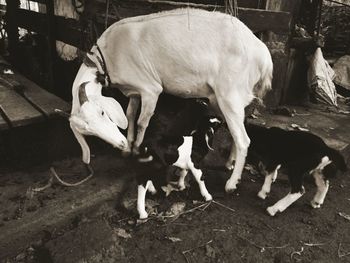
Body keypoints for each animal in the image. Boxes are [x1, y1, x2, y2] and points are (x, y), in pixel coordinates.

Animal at [69, 8, 274, 194]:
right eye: (89, 132)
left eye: (102, 112)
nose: (119, 143)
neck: (109, 54)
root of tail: (264, 56)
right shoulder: (134, 91)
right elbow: (130, 114)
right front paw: (128, 146)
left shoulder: (150, 89)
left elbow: (142, 122)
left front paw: (137, 150)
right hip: (230, 98)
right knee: (237, 131)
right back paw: (229, 163)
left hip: (230, 94)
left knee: (243, 140)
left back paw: (232, 183)